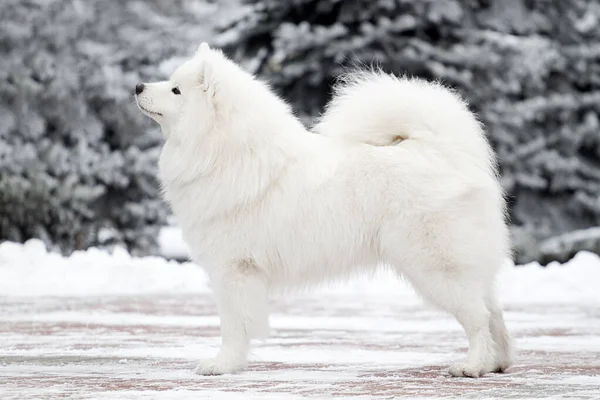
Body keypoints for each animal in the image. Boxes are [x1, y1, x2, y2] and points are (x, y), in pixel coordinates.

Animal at [137, 43, 516, 378]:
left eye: (175, 90)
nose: (138, 86)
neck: (223, 151)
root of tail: (444, 152)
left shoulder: (234, 270)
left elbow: (234, 326)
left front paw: (223, 365)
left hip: (435, 266)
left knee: (478, 316)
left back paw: (473, 366)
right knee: (494, 309)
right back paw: (498, 363)